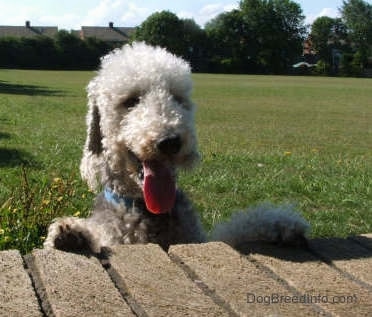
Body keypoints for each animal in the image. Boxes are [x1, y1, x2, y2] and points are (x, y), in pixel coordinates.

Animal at [44, 42, 308, 254]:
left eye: (178, 98)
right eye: (131, 101)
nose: (170, 141)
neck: (147, 211)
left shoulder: (200, 241)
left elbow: (237, 229)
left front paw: (281, 224)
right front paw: (70, 233)